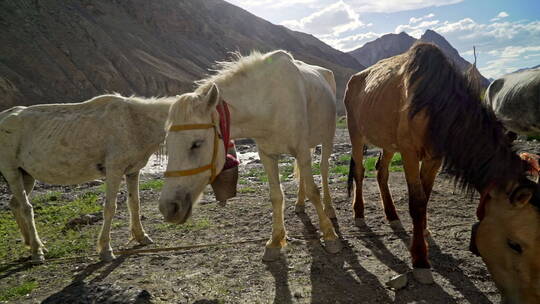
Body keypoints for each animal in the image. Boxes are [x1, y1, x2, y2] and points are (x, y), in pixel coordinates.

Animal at [0, 95, 174, 262]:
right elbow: (110, 208)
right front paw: (106, 250)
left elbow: (134, 203)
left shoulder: (133, 171)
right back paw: (37, 251)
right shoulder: (114, 170)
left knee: (15, 204)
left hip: (27, 175)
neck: (134, 121)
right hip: (11, 171)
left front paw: (141, 237)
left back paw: (32, 243)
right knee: (26, 208)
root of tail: (3, 116)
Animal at [158, 50, 340, 258]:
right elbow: (276, 195)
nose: (168, 207)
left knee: (324, 169)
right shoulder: (268, 155)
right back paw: (300, 204)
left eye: (196, 144)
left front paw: (329, 235)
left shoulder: (301, 150)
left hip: (327, 140)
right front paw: (275, 241)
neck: (269, 102)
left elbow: (314, 191)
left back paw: (330, 208)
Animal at [346, 42, 540, 302]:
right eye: (515, 244)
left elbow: (425, 198)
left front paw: (423, 232)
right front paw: (420, 260)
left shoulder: (434, 157)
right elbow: (417, 203)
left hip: (388, 143)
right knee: (359, 171)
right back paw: (359, 213)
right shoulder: (409, 152)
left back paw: (392, 216)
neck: (434, 103)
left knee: (381, 172)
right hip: (356, 134)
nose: (530, 299)